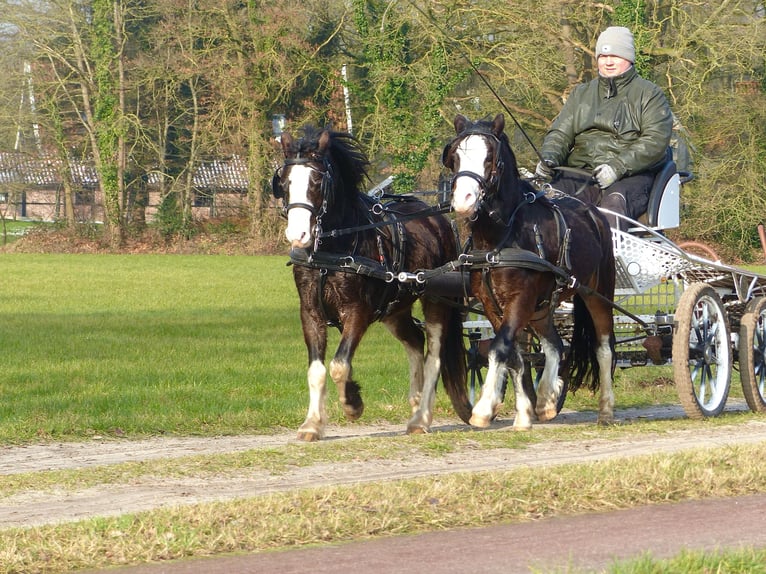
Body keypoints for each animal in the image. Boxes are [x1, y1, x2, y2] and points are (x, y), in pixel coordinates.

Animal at [272, 125, 472, 440]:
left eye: (317, 180)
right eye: (284, 181)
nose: (298, 235)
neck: (332, 251)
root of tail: (438, 221)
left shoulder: (358, 312)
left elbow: (339, 365)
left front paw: (352, 402)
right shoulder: (310, 313)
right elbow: (316, 370)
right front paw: (312, 424)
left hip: (436, 301)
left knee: (434, 355)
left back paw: (421, 418)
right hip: (394, 310)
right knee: (414, 341)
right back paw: (415, 402)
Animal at [440, 115, 616, 430]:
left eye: (490, 158)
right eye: (455, 157)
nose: (463, 200)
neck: (499, 239)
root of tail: (594, 213)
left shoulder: (519, 299)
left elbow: (500, 348)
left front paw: (483, 408)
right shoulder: (492, 304)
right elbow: (516, 355)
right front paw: (524, 413)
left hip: (598, 293)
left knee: (604, 346)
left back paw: (606, 409)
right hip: (542, 306)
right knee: (555, 345)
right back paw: (546, 399)